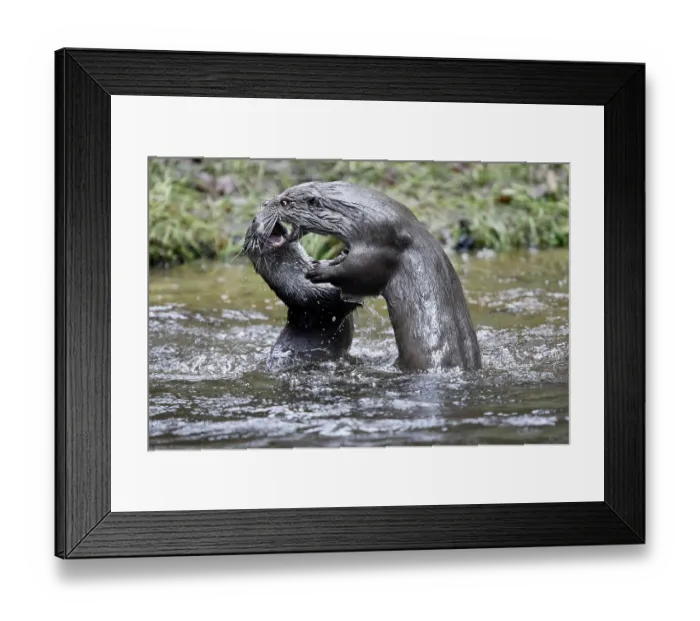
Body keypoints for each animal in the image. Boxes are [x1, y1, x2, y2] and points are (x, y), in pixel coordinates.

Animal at [258, 182, 481, 372]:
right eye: (282, 193)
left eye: (285, 202)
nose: (265, 202)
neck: (360, 219)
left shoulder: (378, 247)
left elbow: (359, 272)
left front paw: (319, 270)